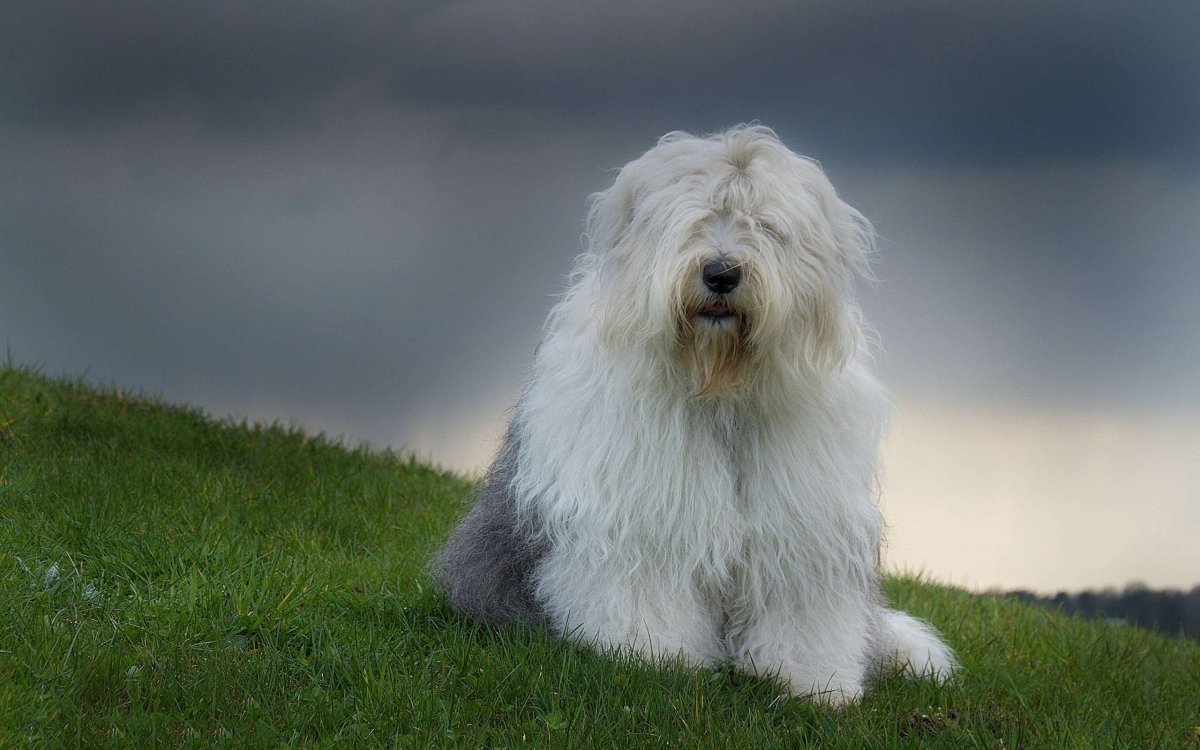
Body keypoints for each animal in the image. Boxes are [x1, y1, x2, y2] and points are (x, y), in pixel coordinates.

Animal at [432, 126, 955, 705]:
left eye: (766, 225)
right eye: (693, 217)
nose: (721, 273)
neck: (718, 387)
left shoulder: (800, 523)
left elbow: (799, 603)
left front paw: (815, 684)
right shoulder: (643, 513)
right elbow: (647, 585)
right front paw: (653, 659)